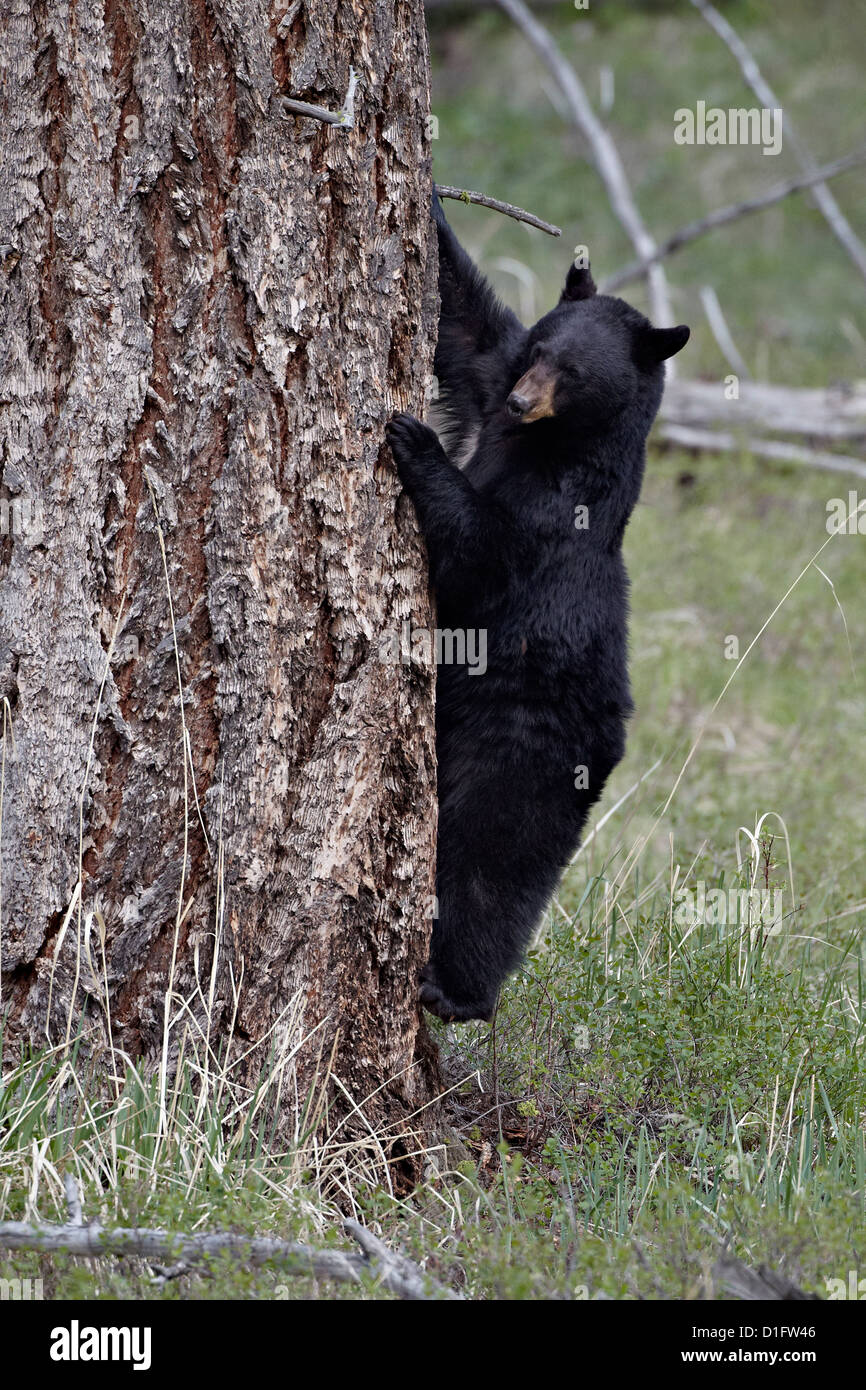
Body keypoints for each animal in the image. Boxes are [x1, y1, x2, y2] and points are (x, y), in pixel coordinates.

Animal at [389, 195, 692, 1023]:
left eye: (575, 371)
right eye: (540, 348)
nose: (526, 400)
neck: (546, 441)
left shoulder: (558, 512)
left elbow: (480, 552)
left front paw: (414, 439)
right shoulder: (489, 380)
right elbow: (462, 324)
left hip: (523, 758)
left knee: (490, 868)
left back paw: (455, 990)